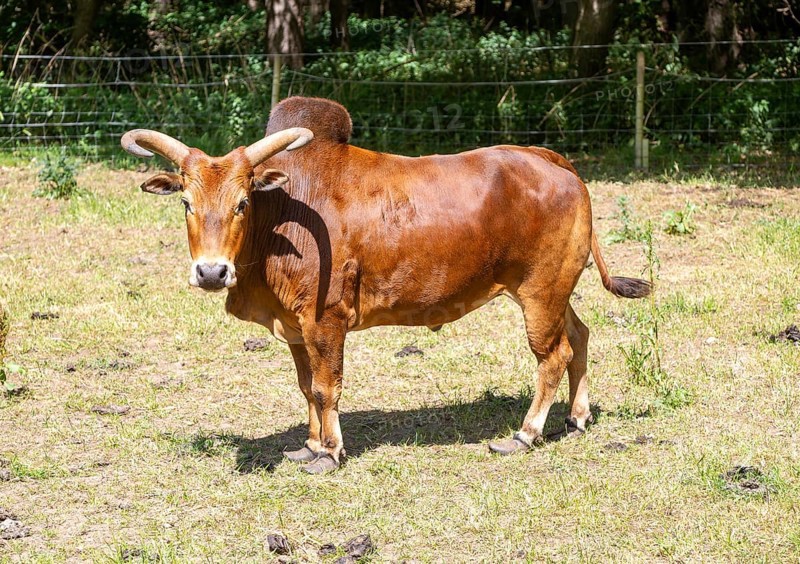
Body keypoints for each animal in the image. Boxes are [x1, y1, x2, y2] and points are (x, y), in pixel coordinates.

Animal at [121, 96, 650, 474]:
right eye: (186, 202)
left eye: (243, 202)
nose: (212, 272)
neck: (284, 209)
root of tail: (553, 161)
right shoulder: (295, 326)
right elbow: (306, 387)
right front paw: (308, 445)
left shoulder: (326, 320)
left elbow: (327, 388)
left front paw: (329, 452)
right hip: (556, 289)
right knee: (580, 336)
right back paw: (576, 417)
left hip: (540, 291)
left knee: (553, 355)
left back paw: (525, 433)